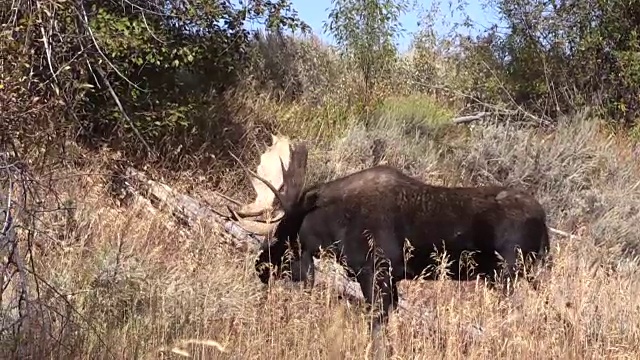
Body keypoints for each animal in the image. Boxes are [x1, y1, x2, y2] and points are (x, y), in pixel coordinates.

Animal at [229, 137, 552, 334]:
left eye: (282, 236)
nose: (259, 268)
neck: (333, 226)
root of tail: (544, 221)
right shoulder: (392, 279)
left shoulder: (375, 272)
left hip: (508, 273)